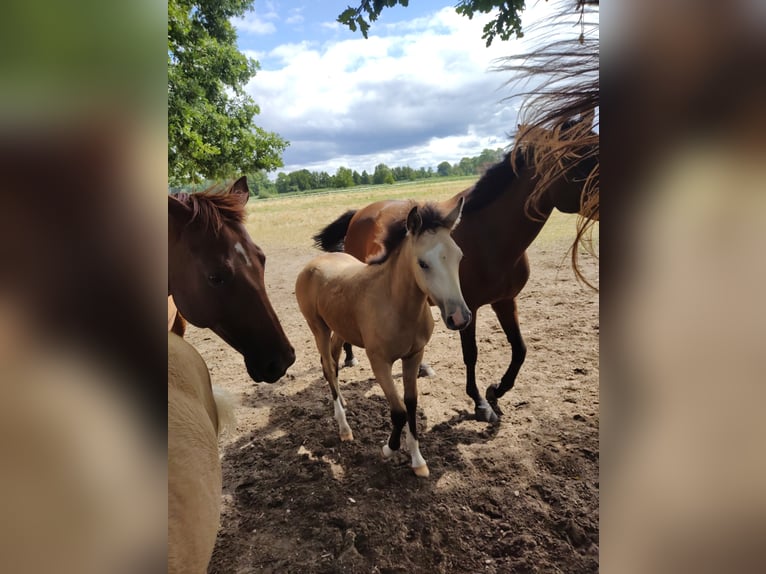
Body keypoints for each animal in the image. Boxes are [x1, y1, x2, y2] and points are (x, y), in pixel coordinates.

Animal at [296, 200, 472, 480]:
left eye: (459, 256)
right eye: (423, 263)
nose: (460, 317)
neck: (395, 304)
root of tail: (314, 262)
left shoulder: (414, 356)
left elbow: (410, 404)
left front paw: (418, 461)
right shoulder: (379, 362)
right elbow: (398, 411)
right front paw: (389, 449)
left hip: (340, 329)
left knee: (331, 363)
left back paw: (342, 404)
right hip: (318, 328)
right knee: (328, 367)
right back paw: (344, 428)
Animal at [316, 118, 596, 424]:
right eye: (578, 157)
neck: (490, 236)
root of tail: (359, 213)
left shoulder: (505, 301)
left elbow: (519, 349)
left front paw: (496, 390)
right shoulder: (467, 308)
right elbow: (471, 354)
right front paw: (480, 403)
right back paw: (349, 356)